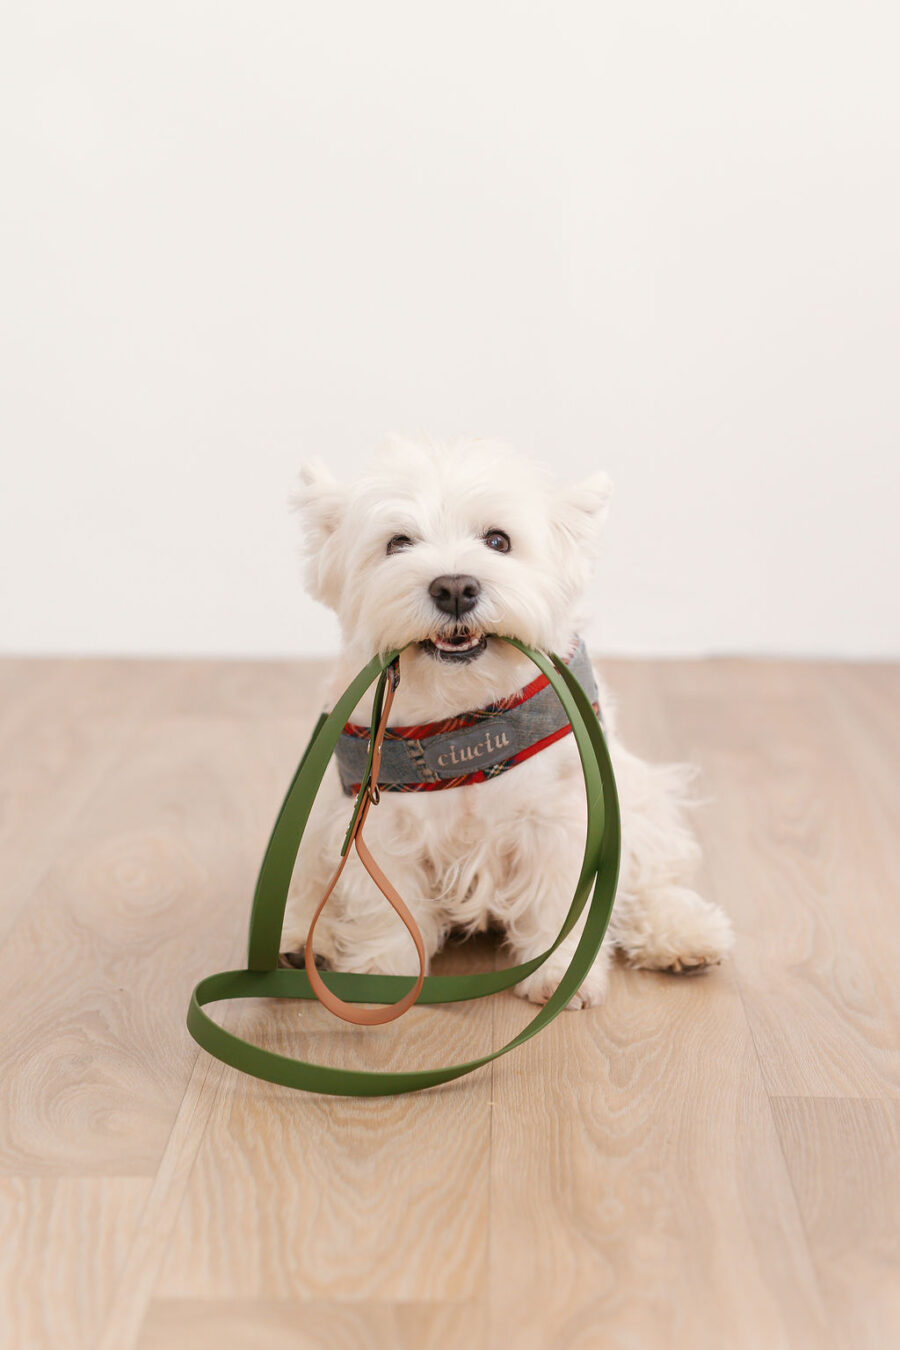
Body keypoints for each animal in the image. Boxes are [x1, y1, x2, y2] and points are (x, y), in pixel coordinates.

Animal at [284, 437, 734, 1009]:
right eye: (397, 543)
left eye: (499, 540)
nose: (454, 588)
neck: (462, 714)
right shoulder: (374, 820)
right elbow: (384, 904)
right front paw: (382, 974)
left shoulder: (565, 817)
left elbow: (562, 899)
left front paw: (561, 975)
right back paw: (302, 944)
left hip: (641, 800)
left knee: (647, 877)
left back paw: (686, 937)